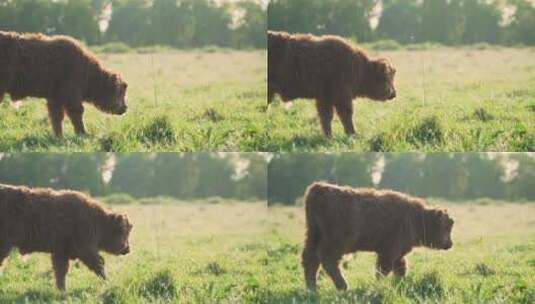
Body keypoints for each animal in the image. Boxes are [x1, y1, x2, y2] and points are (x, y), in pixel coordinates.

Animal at [0, 31, 129, 136]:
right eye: (119, 92)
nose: (124, 108)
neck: (87, 70)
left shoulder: (55, 98)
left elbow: (57, 117)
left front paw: (58, 136)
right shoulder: (70, 96)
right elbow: (76, 113)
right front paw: (82, 133)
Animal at [0, 183, 133, 290]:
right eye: (123, 231)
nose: (127, 249)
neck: (97, 220)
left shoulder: (61, 253)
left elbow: (61, 272)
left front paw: (62, 290)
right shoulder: (86, 250)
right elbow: (99, 265)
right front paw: (108, 282)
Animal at [268, 30, 398, 136]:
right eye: (386, 77)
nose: (393, 94)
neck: (360, 67)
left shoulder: (324, 98)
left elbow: (326, 117)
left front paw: (329, 136)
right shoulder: (341, 97)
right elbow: (346, 114)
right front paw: (352, 133)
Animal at [304, 182, 454, 290]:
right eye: (446, 227)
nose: (450, 244)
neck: (416, 217)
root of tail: (318, 188)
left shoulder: (398, 254)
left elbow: (401, 269)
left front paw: (400, 284)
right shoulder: (388, 252)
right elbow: (382, 270)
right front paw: (379, 285)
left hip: (313, 235)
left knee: (310, 259)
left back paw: (312, 288)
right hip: (336, 242)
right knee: (327, 260)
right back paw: (343, 286)